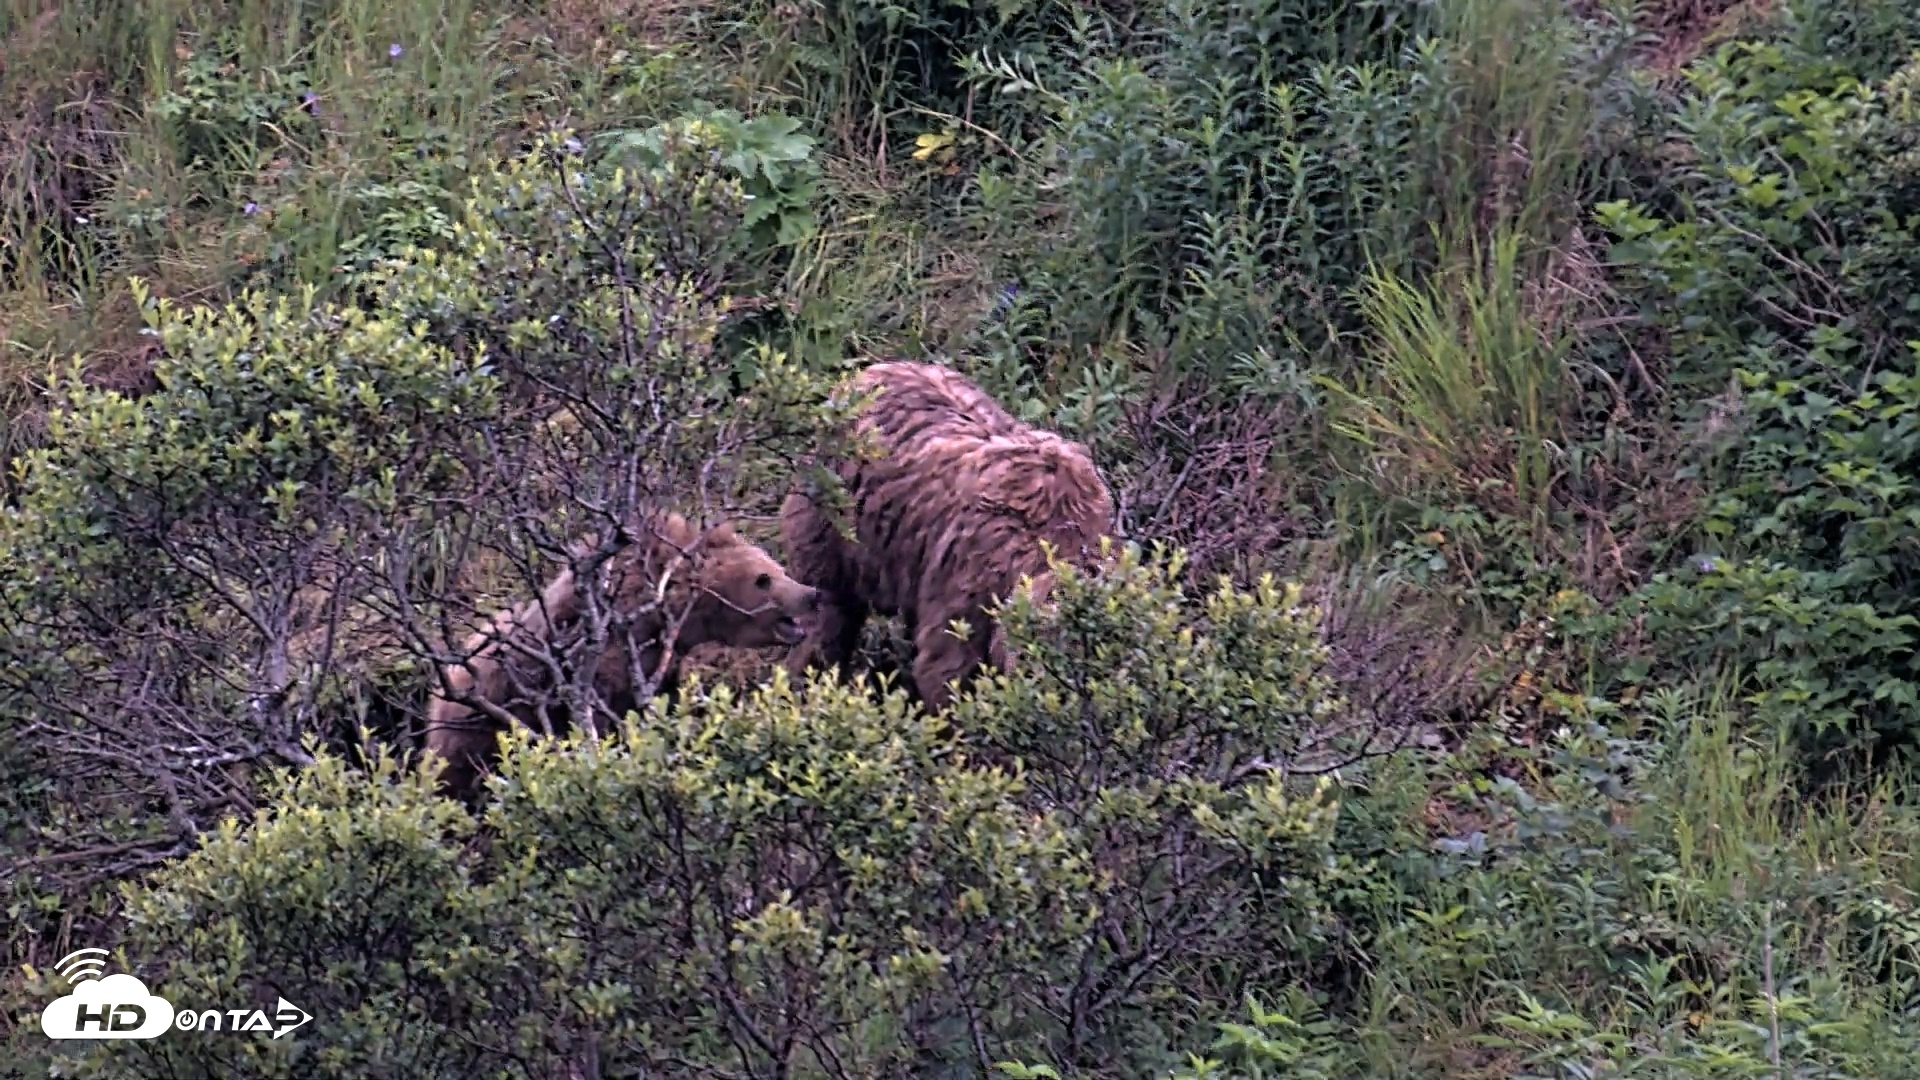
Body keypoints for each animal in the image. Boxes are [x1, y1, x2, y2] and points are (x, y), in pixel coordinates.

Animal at [423, 510, 820, 800]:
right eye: (763, 579)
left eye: (777, 567)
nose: (810, 593)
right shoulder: (601, 662)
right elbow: (603, 718)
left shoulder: (660, 663)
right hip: (473, 723)